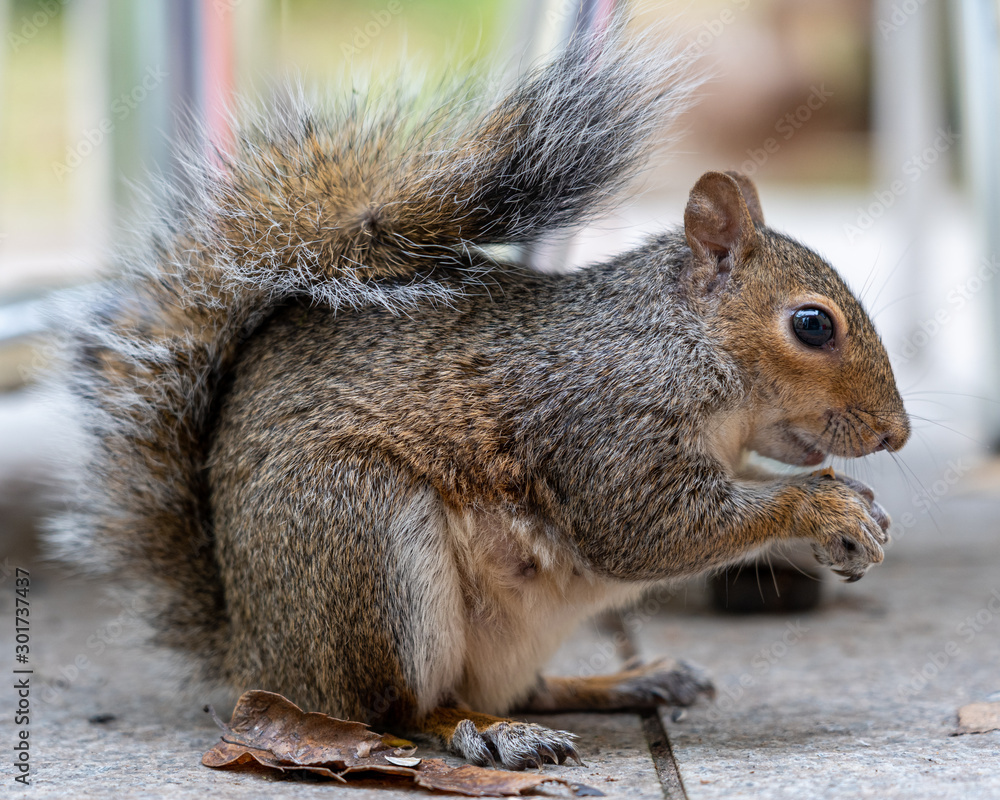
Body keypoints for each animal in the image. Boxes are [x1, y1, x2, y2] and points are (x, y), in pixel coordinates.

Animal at [51, 23, 909, 770]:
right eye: (811, 324)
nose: (896, 434)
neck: (684, 347)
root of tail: (255, 655)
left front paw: (857, 517)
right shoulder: (600, 422)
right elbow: (651, 529)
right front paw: (821, 507)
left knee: (521, 688)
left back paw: (622, 682)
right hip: (361, 534)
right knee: (395, 712)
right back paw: (488, 733)